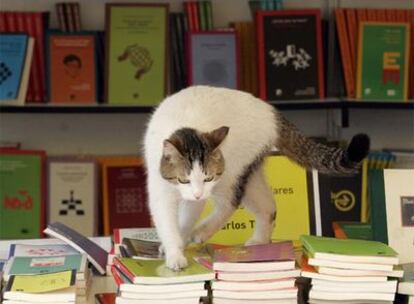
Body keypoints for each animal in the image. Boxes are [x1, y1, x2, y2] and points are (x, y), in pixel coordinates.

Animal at [143, 86, 368, 270]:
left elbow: (184, 221)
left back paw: (202, 232)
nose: (198, 194)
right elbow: (169, 223)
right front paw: (174, 249)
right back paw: (260, 240)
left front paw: (177, 249)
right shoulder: (162, 194)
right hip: (250, 175)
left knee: (229, 204)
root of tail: (269, 111)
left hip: (231, 173)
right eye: (184, 180)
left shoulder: (201, 194)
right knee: (268, 207)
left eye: (207, 178)